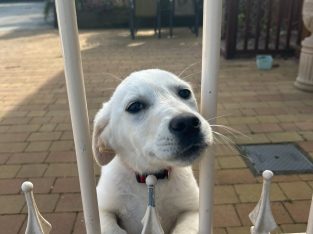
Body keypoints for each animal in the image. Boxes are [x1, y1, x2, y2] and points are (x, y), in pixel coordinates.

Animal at [92, 69, 212, 234]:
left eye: (185, 92)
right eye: (135, 106)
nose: (187, 123)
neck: (151, 177)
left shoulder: (194, 209)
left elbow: (184, 230)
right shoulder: (101, 209)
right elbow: (112, 229)